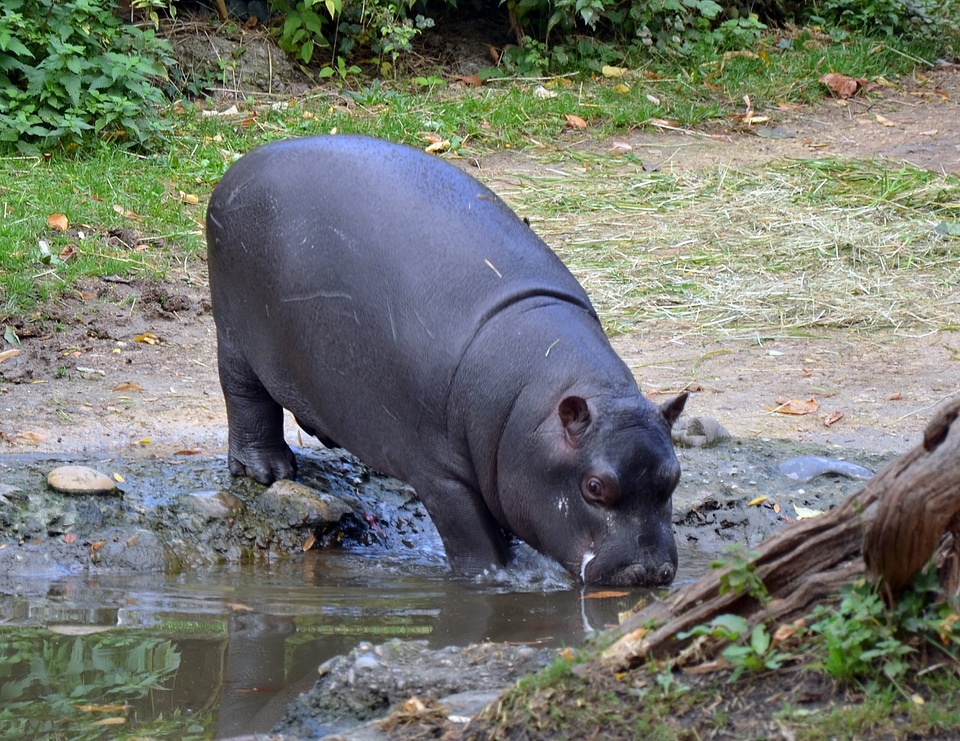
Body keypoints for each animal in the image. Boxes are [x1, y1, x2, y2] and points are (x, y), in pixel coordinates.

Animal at [208, 133, 688, 584]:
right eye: (594, 487)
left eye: (674, 477)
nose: (648, 571)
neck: (531, 403)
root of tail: (237, 168)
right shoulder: (441, 476)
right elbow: (473, 538)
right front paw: (491, 578)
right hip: (234, 337)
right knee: (246, 399)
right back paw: (268, 472)